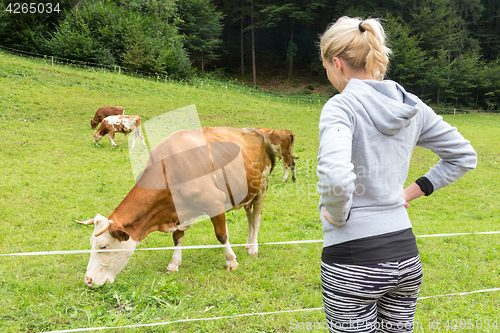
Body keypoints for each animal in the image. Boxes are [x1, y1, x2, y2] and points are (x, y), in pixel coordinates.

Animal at [76, 127, 276, 286]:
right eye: (90, 244)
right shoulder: (178, 211)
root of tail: (257, 131)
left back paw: (254, 249)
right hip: (248, 193)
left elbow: (221, 235)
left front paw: (231, 262)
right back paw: (248, 245)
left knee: (256, 218)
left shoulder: (215, 202)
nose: (88, 280)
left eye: (103, 246)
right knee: (250, 217)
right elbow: (177, 237)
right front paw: (173, 264)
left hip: (262, 186)